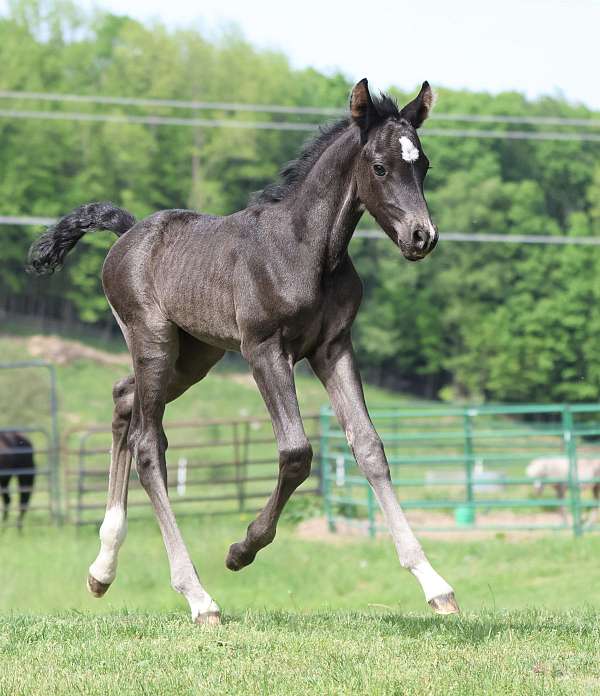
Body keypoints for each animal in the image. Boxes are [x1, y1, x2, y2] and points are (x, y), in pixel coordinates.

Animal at [27, 78, 458, 624]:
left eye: (424, 166)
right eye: (380, 167)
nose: (422, 237)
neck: (307, 250)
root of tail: (128, 231)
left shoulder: (333, 347)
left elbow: (369, 447)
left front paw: (435, 583)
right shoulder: (264, 349)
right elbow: (296, 452)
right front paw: (242, 550)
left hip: (193, 356)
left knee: (124, 401)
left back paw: (102, 569)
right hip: (153, 341)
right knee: (148, 445)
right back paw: (197, 596)